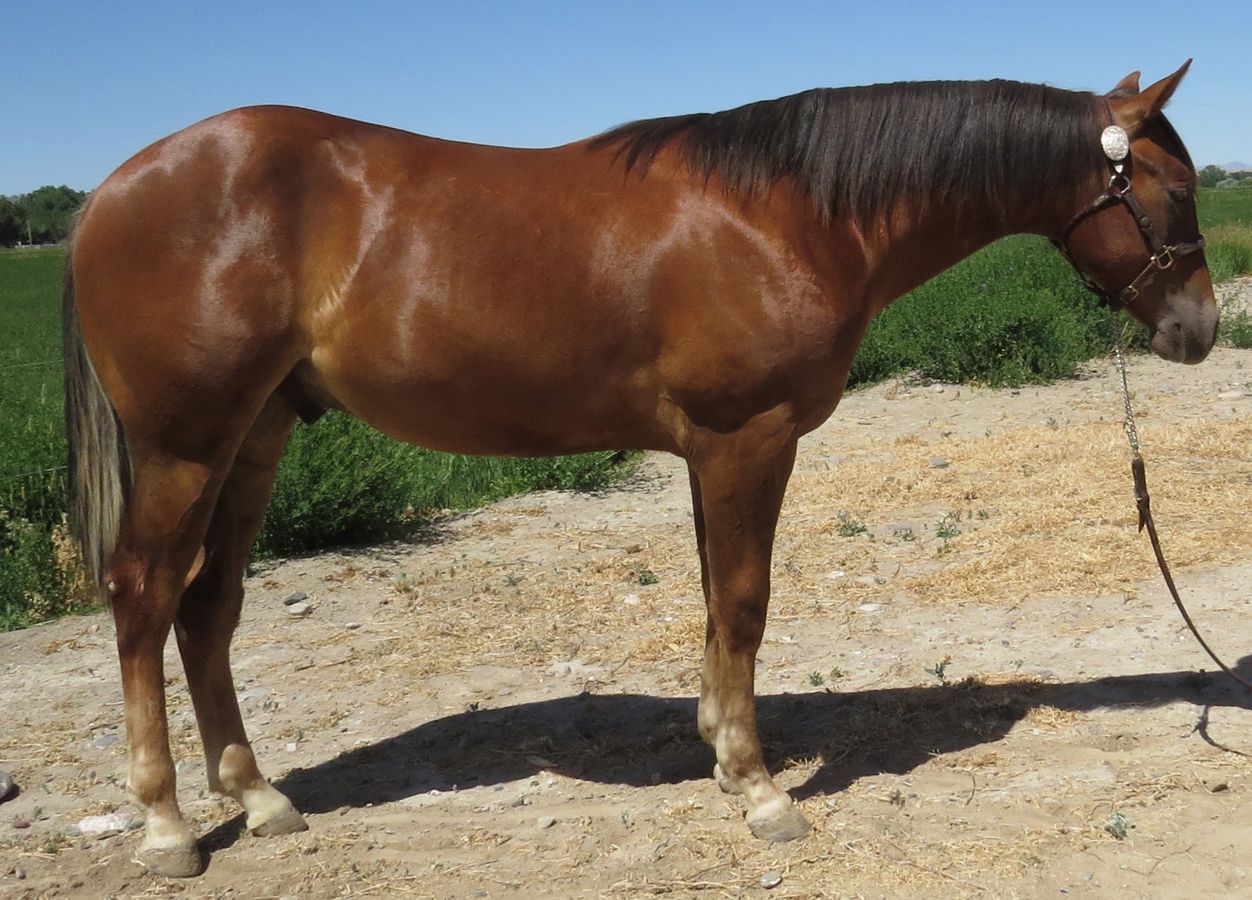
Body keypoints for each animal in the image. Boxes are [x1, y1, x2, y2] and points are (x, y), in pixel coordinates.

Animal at [63, 62, 1215, 876]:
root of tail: (108, 194)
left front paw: (719, 751)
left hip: (254, 440)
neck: (794, 212)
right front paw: (760, 790)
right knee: (144, 599)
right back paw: (166, 826)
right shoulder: (747, 439)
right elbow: (744, 601)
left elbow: (713, 600)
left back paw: (258, 799)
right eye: (1171, 186)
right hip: (185, 446)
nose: (1200, 329)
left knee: (208, 609)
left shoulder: (714, 451)